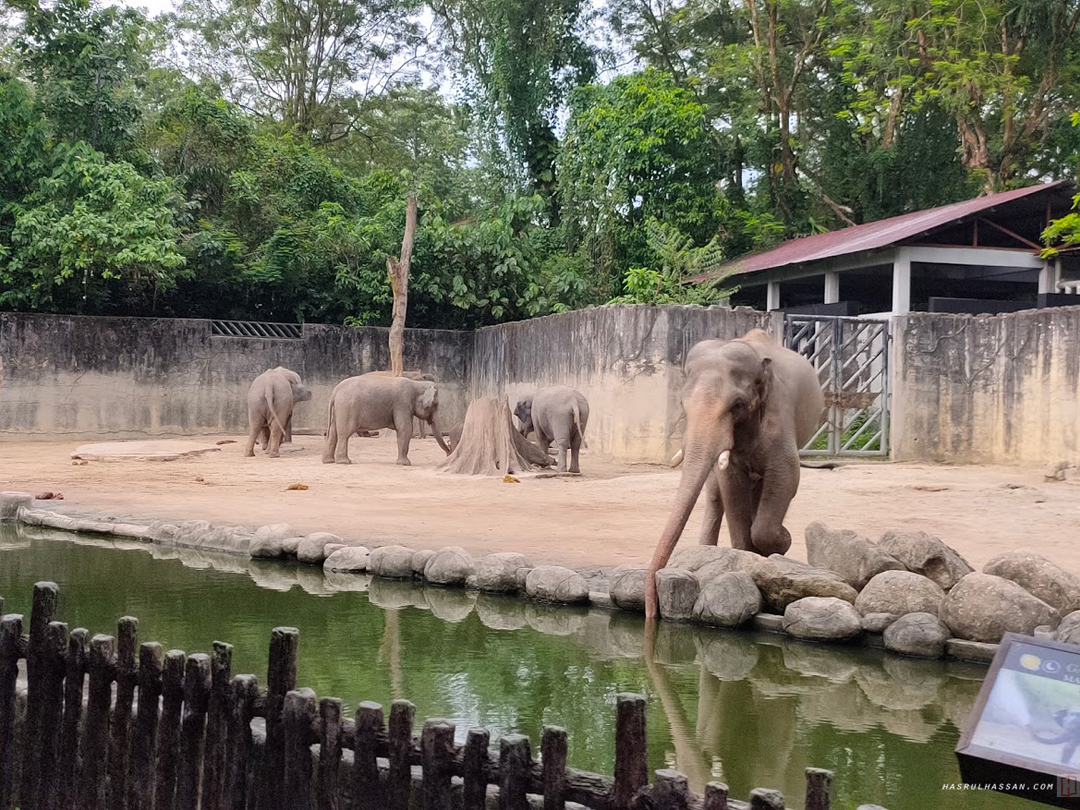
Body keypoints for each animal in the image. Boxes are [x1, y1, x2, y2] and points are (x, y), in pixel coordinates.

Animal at [643, 330, 820, 622]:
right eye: (682, 403)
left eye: (737, 404)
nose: (652, 613)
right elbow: (731, 487)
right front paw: (751, 556)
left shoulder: (779, 415)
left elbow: (786, 477)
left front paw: (781, 544)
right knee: (716, 495)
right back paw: (707, 550)